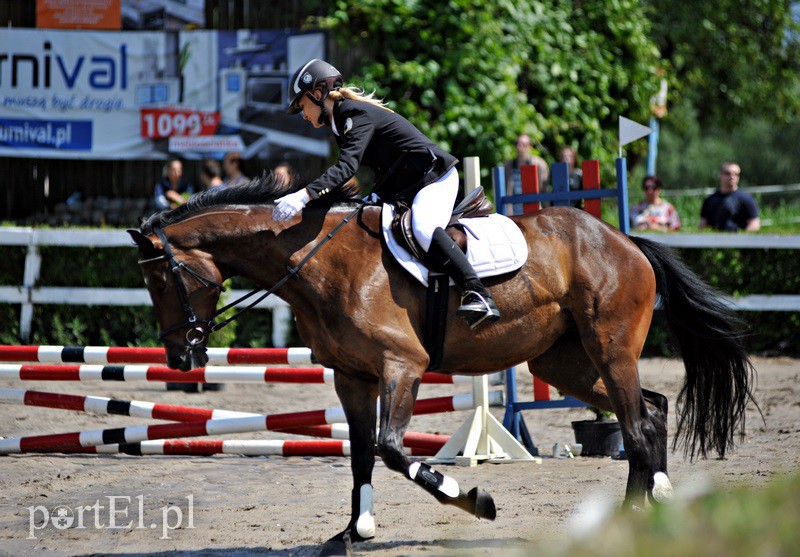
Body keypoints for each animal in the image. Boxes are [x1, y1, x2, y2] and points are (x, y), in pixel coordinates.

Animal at [130, 173, 756, 552]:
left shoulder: (401, 365)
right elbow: (362, 455)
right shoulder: (352, 376)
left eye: (162, 280)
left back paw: (633, 513)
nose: (180, 357)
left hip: (610, 349)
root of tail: (624, 240)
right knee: (647, 411)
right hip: (566, 365)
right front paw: (354, 531)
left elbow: (391, 449)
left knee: (636, 422)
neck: (318, 262)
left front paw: (474, 500)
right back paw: (650, 505)